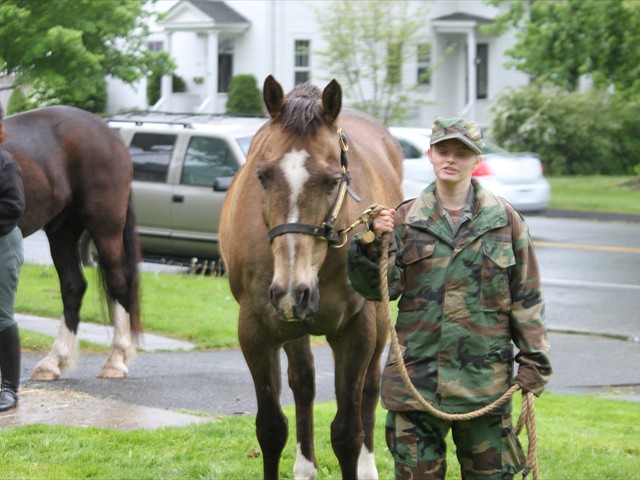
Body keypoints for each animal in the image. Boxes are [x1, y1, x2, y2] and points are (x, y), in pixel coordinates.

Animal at [0, 104, 142, 380]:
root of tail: (110, 134)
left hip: (105, 225)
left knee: (118, 282)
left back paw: (115, 360)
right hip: (62, 230)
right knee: (73, 287)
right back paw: (54, 361)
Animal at [219, 76, 404, 480]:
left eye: (333, 181)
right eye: (262, 175)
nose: (293, 291)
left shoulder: (355, 331)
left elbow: (347, 432)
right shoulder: (257, 328)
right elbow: (271, 427)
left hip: (378, 320)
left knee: (369, 389)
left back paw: (368, 467)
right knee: (303, 383)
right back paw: (305, 467)